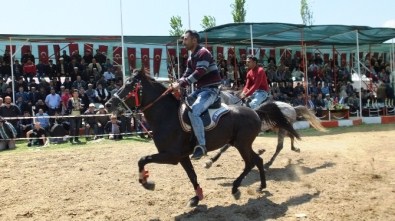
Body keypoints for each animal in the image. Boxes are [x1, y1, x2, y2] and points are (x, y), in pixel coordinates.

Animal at [105, 70, 300, 206]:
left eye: (130, 85)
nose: (108, 104)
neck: (167, 116)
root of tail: (255, 112)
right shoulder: (182, 156)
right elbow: (192, 176)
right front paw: (197, 197)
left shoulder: (171, 155)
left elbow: (143, 159)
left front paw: (146, 182)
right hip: (240, 143)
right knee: (257, 160)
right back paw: (261, 186)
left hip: (242, 144)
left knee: (251, 162)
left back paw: (236, 187)